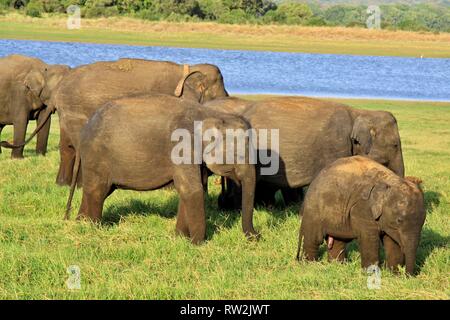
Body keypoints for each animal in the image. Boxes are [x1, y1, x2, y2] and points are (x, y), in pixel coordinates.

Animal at [52, 58, 229, 186]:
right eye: (219, 95)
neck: (187, 69)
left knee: (67, 146)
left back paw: (62, 183)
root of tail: (60, 85)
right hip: (75, 112)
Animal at [65, 94, 258, 244]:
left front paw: (180, 238)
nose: (257, 236)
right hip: (96, 156)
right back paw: (93, 227)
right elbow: (192, 189)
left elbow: (189, 190)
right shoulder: (182, 147)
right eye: (238, 155)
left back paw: (80, 223)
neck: (212, 114)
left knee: (99, 190)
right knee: (97, 190)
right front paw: (197, 243)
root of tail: (84, 131)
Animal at [296, 156, 426, 276]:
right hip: (313, 212)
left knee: (338, 240)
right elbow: (370, 239)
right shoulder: (363, 209)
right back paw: (310, 264)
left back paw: (338, 265)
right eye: (399, 220)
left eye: (423, 222)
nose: (408, 276)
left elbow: (392, 241)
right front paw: (371, 273)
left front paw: (394, 274)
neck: (388, 180)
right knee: (313, 239)